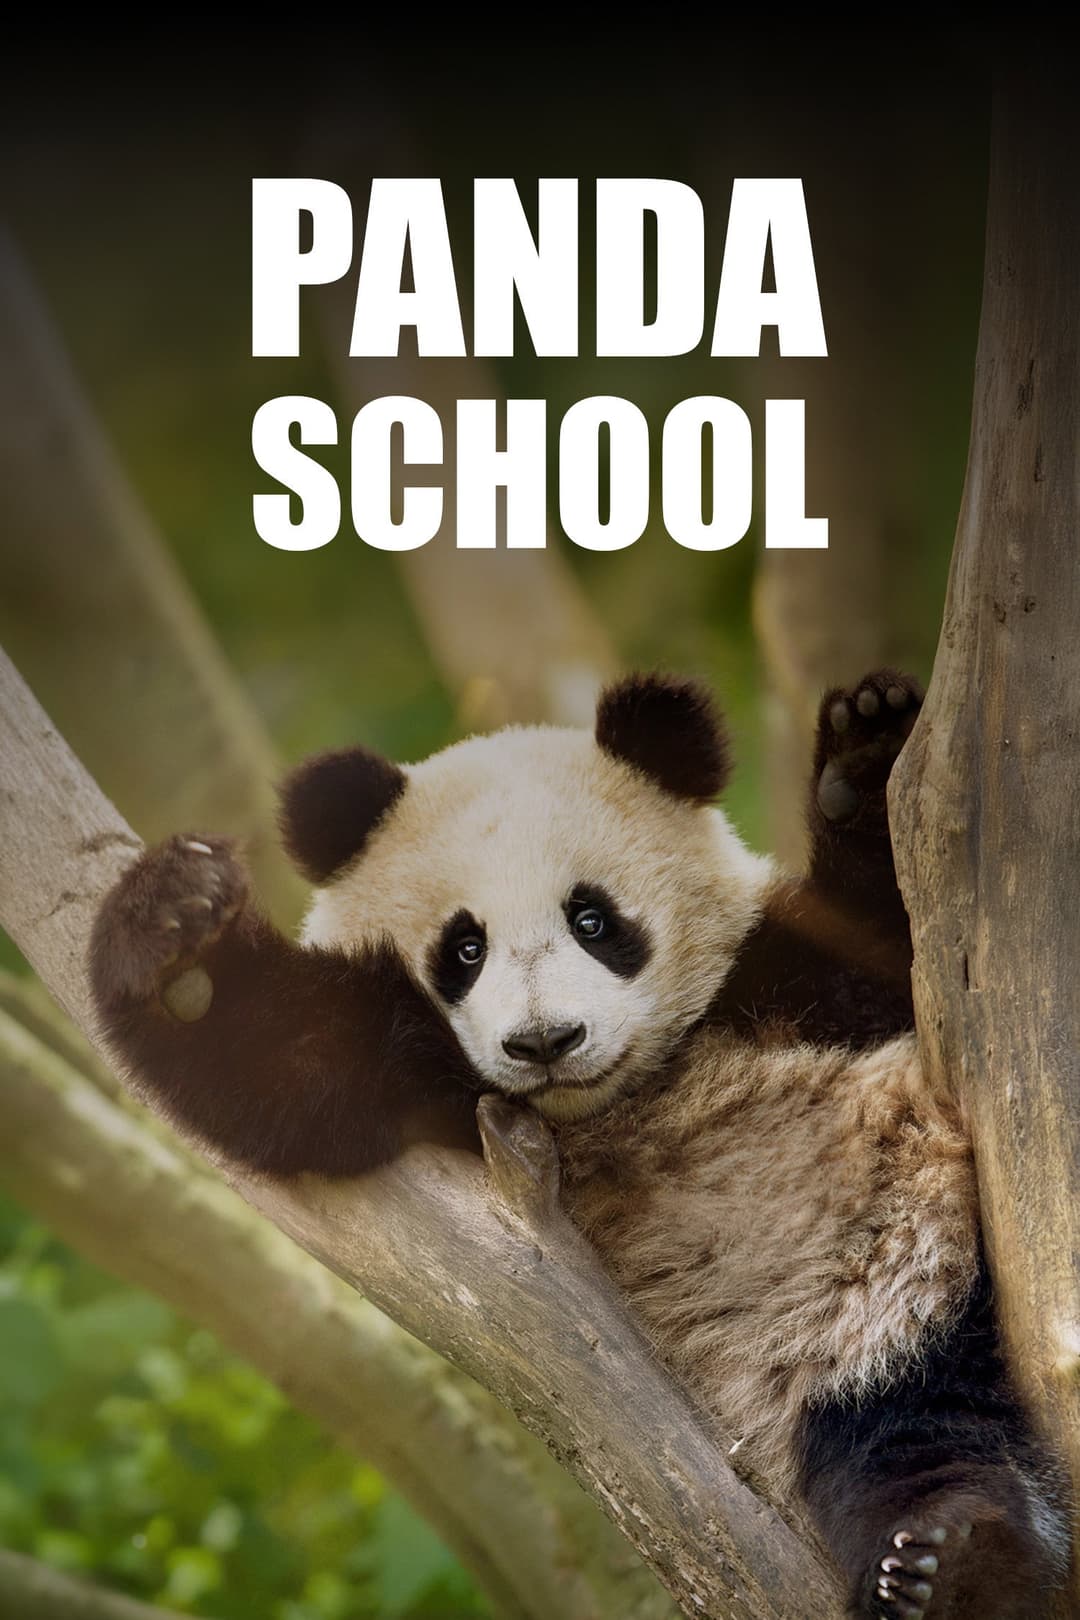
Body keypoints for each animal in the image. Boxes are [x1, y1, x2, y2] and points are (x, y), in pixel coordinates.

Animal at [90, 670, 1070, 1619]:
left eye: (593, 920)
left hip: (900, 1284)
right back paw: (950, 1560)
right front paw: (173, 918)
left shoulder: (783, 973)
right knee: (907, 1440)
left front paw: (867, 744)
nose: (544, 1042)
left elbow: (894, 935)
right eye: (465, 947)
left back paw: (954, 1558)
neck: (619, 1097)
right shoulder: (413, 1072)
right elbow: (271, 1061)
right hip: (826, 1362)